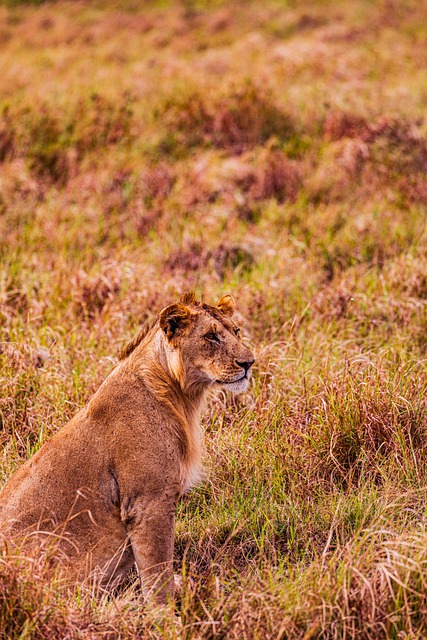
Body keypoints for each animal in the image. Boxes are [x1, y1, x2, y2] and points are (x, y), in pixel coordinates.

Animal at [0, 292, 254, 604]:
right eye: (211, 336)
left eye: (236, 331)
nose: (249, 362)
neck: (181, 397)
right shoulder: (148, 503)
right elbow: (157, 574)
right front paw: (165, 613)